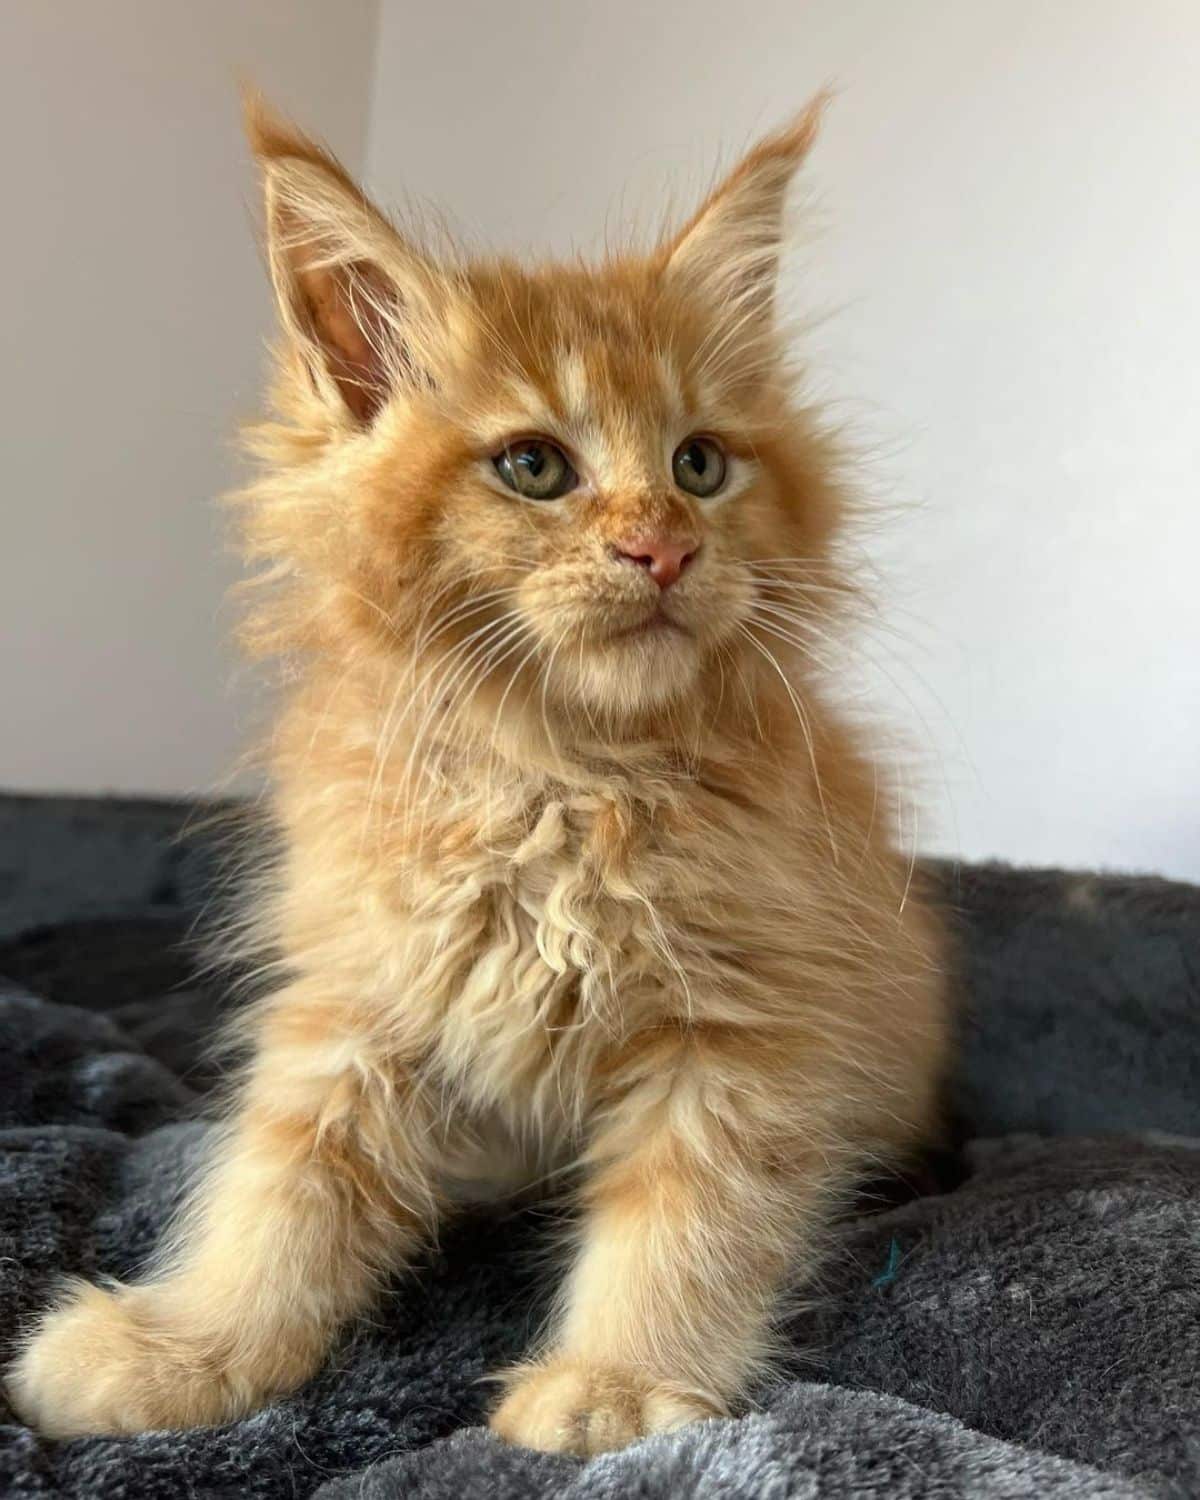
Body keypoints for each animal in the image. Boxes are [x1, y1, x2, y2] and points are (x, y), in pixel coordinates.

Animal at [7, 93, 948, 1452]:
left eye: (700, 465)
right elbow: (279, 1190)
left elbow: (689, 1223)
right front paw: (194, 1346)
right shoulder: (358, 1003)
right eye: (535, 467)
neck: (555, 781)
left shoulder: (743, 1032)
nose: (663, 548)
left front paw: (618, 1382)